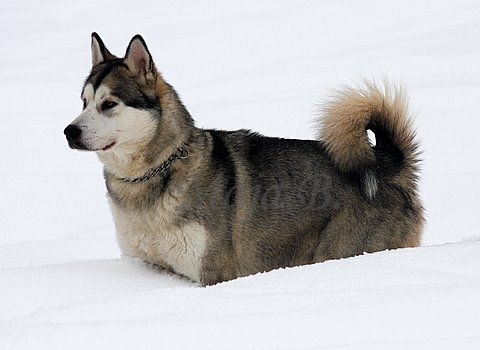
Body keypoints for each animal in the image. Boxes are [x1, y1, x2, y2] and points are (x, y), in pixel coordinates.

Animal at [63, 32, 424, 286]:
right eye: (83, 102)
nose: (69, 131)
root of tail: (386, 164)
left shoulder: (213, 272)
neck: (155, 174)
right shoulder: (148, 264)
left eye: (109, 104)